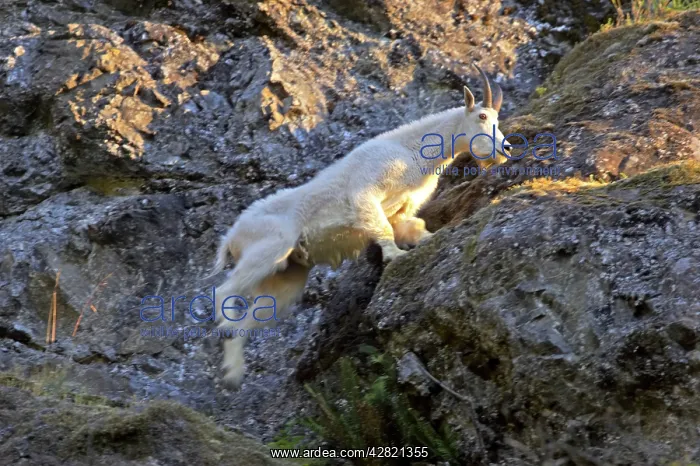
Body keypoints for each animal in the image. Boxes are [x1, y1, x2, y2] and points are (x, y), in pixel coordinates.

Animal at [211, 64, 510, 388]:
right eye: (483, 117)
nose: (505, 148)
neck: (411, 150)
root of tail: (230, 238)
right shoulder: (366, 194)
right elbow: (383, 230)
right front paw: (396, 257)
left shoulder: (402, 208)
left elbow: (410, 227)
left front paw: (431, 239)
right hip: (269, 248)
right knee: (224, 290)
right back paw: (225, 326)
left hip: (286, 275)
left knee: (253, 315)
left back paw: (233, 372)